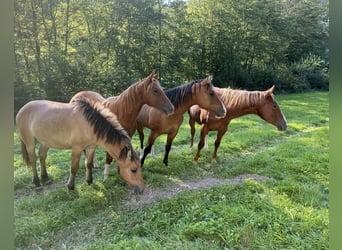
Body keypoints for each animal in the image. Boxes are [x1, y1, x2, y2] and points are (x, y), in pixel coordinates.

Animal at [15, 95, 144, 193]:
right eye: (133, 169)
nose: (141, 189)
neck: (89, 124)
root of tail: (22, 109)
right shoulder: (77, 148)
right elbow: (74, 168)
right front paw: (70, 186)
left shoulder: (91, 147)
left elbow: (89, 164)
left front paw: (90, 181)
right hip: (29, 142)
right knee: (33, 159)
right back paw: (37, 183)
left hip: (45, 142)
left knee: (42, 156)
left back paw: (46, 178)